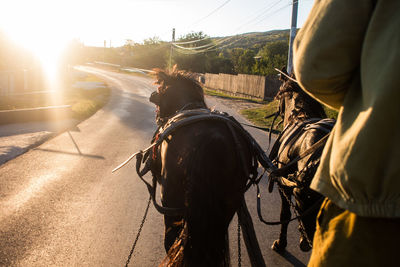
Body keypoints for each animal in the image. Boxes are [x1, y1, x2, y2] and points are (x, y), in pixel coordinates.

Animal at [148, 69, 258, 267]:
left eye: (160, 91)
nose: (158, 117)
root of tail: (213, 141)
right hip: (227, 208)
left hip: (171, 202)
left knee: (171, 241)